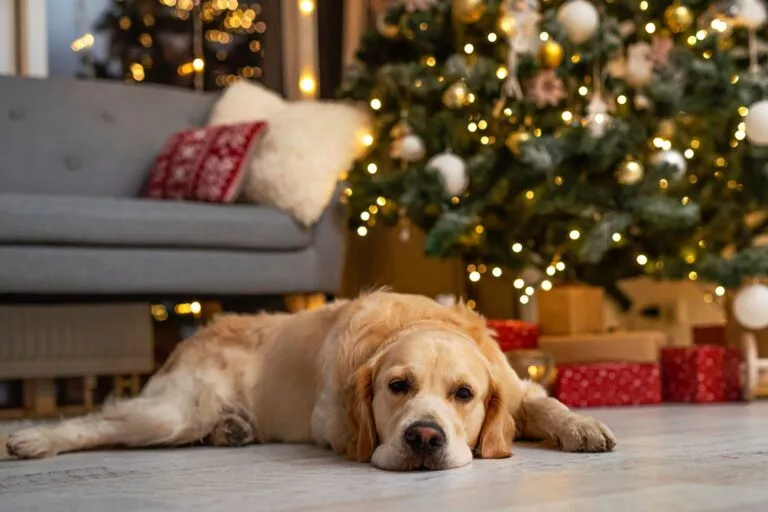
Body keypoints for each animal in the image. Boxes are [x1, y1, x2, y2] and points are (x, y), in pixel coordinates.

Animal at [6, 290, 616, 470]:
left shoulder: (516, 385)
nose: (424, 438)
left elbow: (545, 402)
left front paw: (582, 427)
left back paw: (232, 430)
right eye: (397, 386)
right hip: (174, 411)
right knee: (99, 420)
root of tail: (200, 329)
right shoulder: (333, 423)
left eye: (463, 395)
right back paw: (33, 438)